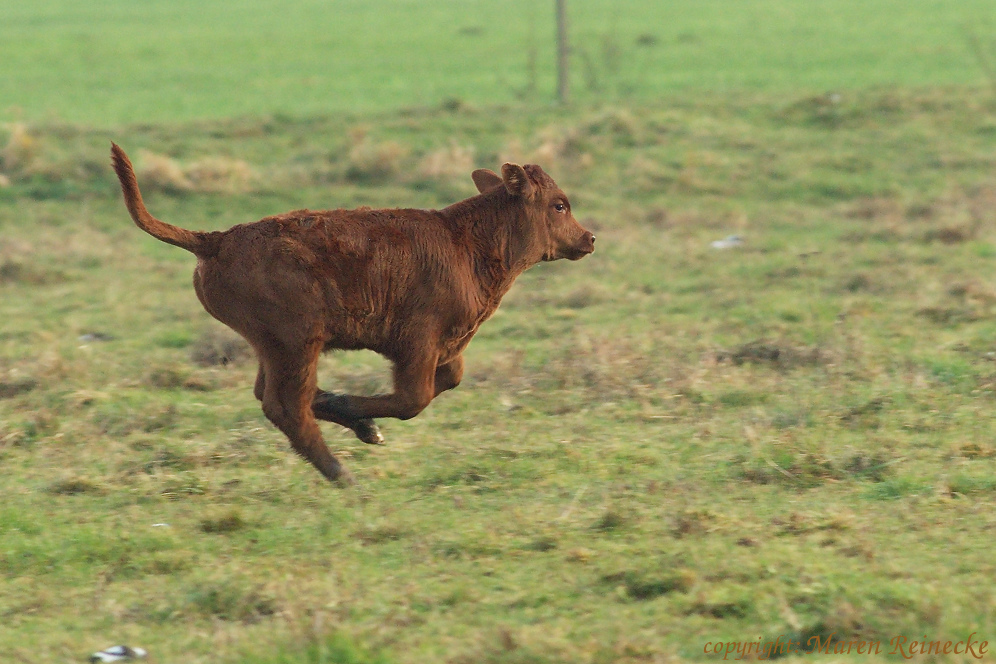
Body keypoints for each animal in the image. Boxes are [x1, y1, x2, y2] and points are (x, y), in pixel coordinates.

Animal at [111, 144, 592, 482]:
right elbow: (412, 398)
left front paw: (359, 419)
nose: (589, 238)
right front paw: (356, 413)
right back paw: (342, 473)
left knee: (274, 395)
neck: (466, 242)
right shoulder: (418, 341)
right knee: (286, 405)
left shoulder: (448, 345)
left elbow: (448, 381)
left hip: (276, 347)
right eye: (559, 205)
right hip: (297, 342)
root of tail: (218, 239)